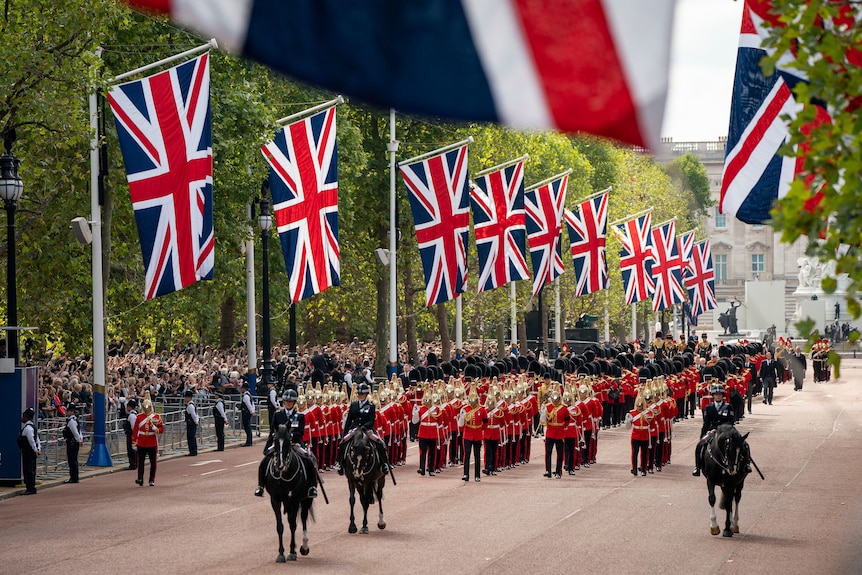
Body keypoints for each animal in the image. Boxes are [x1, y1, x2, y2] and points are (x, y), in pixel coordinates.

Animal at [266, 424, 318, 564]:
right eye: (274, 441)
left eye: (288, 442)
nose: (280, 465)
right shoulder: (275, 500)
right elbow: (280, 526)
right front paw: (281, 553)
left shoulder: (295, 499)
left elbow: (293, 524)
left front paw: (292, 552)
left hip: (306, 500)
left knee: (303, 518)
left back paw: (304, 546)